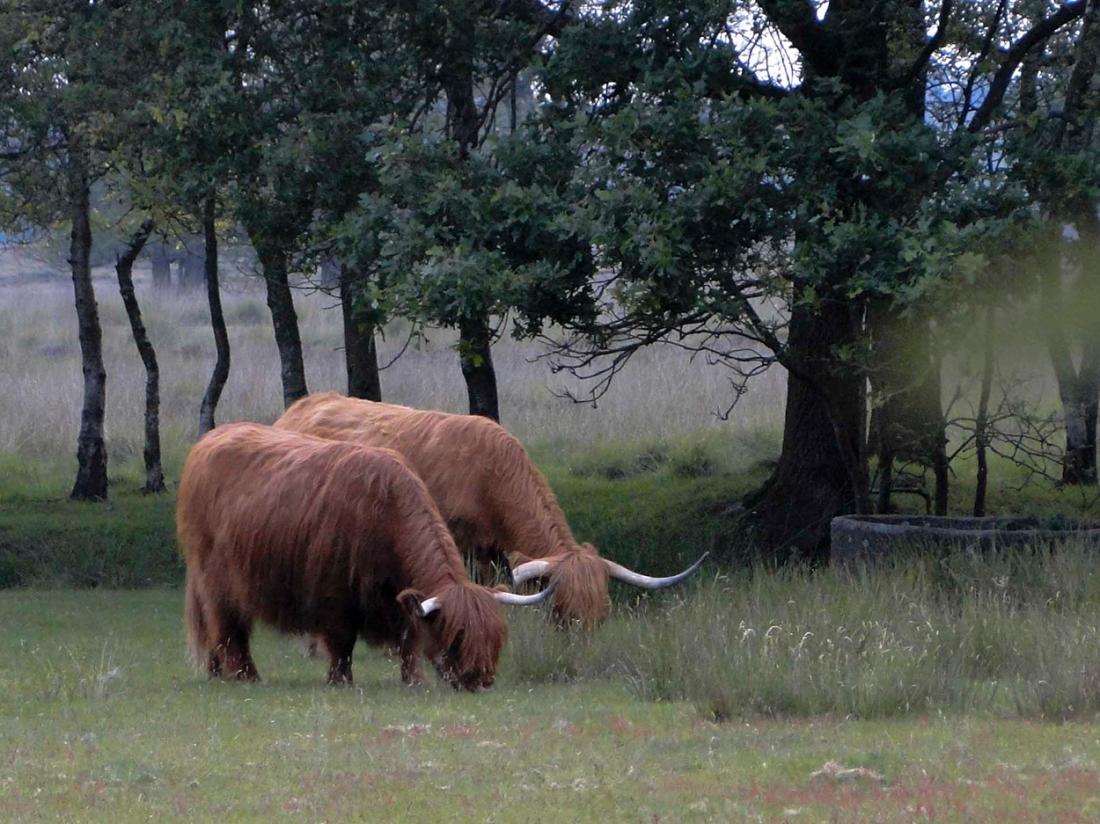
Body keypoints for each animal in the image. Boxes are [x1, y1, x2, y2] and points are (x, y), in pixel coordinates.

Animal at [182, 424, 558, 686]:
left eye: (496, 636)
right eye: (457, 636)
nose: (479, 679)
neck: (385, 513)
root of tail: (208, 440)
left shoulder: (401, 595)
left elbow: (409, 638)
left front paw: (413, 680)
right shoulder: (333, 593)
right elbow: (342, 641)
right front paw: (340, 680)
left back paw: (217, 672)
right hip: (220, 580)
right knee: (229, 627)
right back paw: (246, 676)